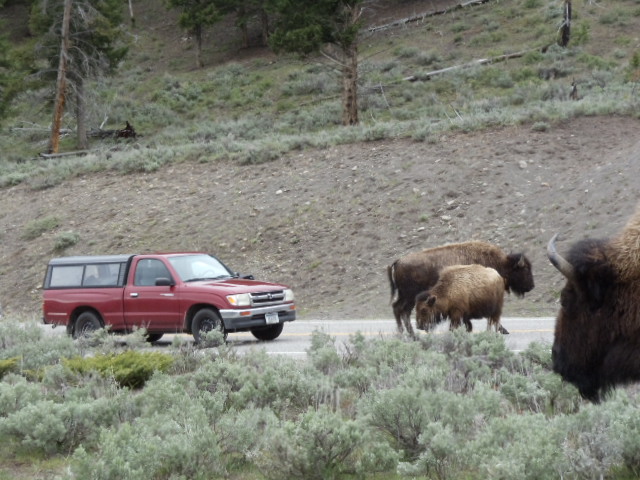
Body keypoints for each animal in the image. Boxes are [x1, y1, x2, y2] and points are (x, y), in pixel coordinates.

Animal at [388, 241, 534, 336]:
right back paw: (408, 334)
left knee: (398, 309)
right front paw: (503, 330)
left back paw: (406, 333)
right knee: (402, 310)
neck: (502, 263)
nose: (531, 286)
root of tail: (398, 261)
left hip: (406, 296)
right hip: (409, 296)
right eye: (525, 269)